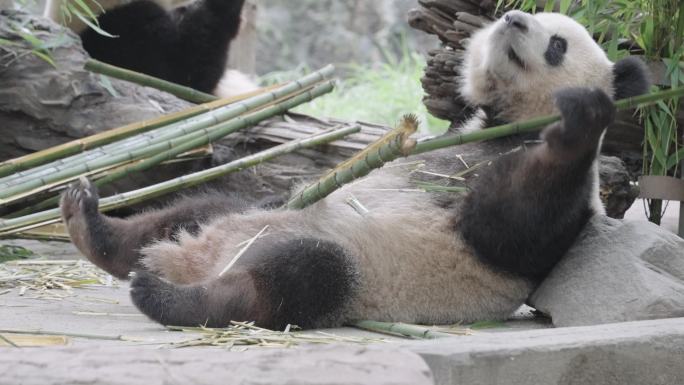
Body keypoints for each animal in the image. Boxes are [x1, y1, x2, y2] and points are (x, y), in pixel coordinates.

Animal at [58, 10, 648, 328]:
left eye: (557, 44)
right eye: (533, 20)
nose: (512, 18)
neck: (503, 120)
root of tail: (193, 262)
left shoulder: (527, 192)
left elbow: (512, 229)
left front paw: (579, 122)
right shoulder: (452, 135)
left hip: (359, 272)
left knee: (297, 278)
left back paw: (164, 296)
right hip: (244, 216)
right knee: (201, 207)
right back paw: (94, 228)